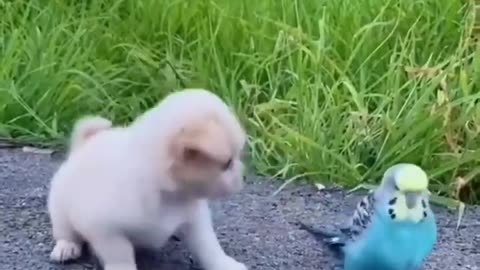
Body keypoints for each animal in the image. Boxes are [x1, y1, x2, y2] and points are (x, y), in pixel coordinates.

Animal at [47, 88, 249, 270]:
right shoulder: (107, 231)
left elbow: (209, 247)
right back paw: (67, 247)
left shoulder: (196, 221)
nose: (241, 177)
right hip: (60, 209)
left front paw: (225, 264)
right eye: (227, 164)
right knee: (66, 232)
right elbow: (120, 255)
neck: (167, 194)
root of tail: (83, 144)